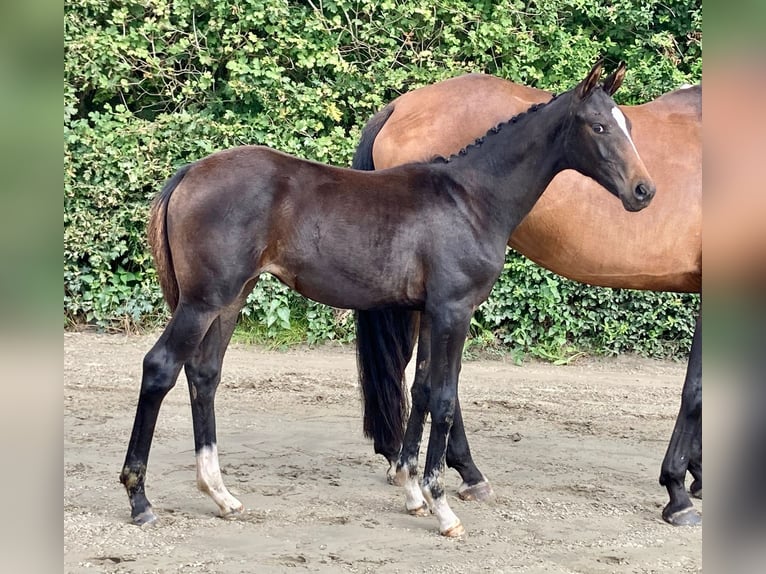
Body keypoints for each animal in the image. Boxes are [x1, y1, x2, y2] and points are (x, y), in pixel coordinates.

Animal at [123, 60, 656, 536]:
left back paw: (221, 495)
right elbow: (443, 397)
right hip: (203, 301)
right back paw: (139, 499)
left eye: (629, 124)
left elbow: (419, 389)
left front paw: (412, 490)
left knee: (204, 375)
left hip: (230, 300)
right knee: (161, 367)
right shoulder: (453, 311)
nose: (644, 191)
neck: (472, 199)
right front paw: (443, 508)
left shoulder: (426, 312)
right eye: (599, 125)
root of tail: (188, 173)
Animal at [354, 72, 704, 528]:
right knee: (438, 382)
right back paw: (466, 474)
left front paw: (697, 475)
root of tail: (400, 106)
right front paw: (678, 490)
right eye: (599, 127)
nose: (644, 191)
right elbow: (696, 391)